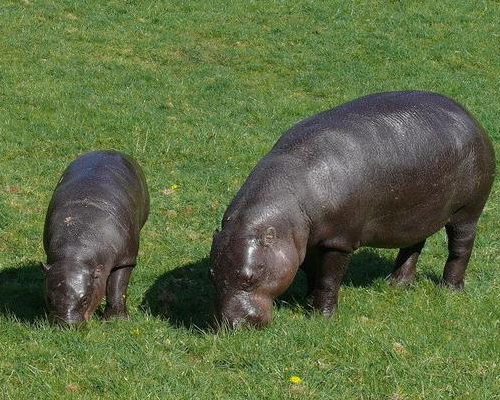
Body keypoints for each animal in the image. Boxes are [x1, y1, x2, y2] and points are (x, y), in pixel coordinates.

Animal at [42, 150, 148, 324]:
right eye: (49, 299)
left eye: (85, 299)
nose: (65, 325)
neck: (76, 252)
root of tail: (108, 150)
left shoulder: (126, 259)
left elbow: (117, 287)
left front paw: (116, 320)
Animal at [210, 90, 496, 328]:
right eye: (213, 275)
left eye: (249, 278)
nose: (234, 325)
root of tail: (470, 116)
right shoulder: (307, 241)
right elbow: (311, 271)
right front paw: (307, 301)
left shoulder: (339, 241)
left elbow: (328, 279)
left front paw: (321, 316)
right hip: (417, 214)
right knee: (413, 245)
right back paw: (397, 284)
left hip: (468, 210)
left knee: (460, 248)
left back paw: (450, 289)